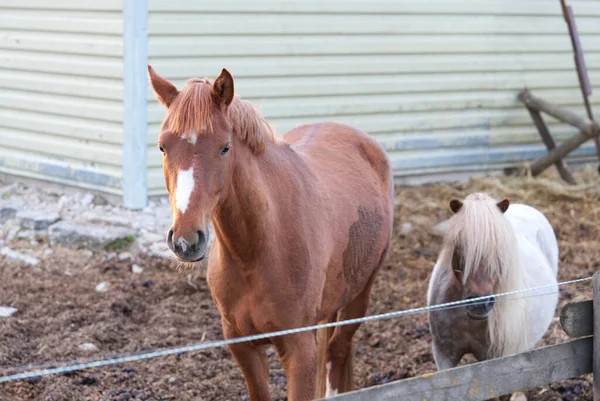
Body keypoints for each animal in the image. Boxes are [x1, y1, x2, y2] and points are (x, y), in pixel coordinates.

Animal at [148, 66, 396, 400]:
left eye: (225, 147)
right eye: (163, 146)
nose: (186, 241)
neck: (258, 250)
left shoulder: (299, 349)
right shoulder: (243, 346)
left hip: (360, 296)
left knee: (337, 352)